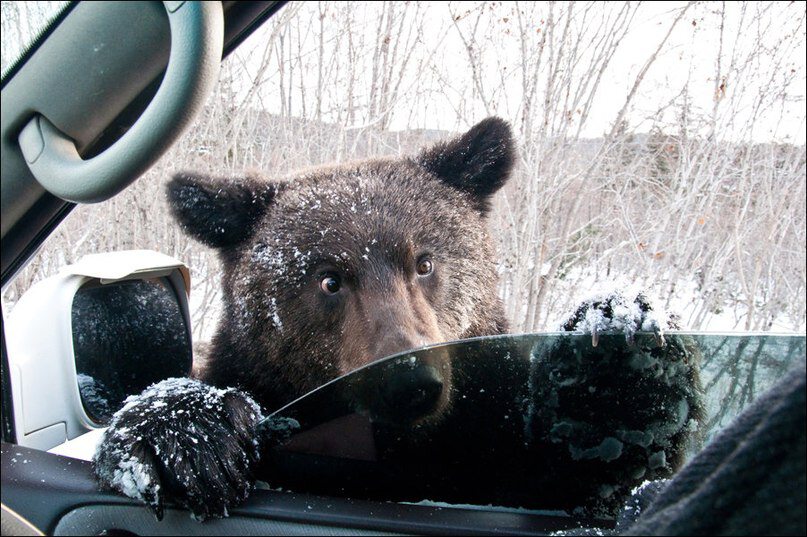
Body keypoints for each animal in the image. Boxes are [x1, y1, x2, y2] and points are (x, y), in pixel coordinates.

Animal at [93, 116, 700, 520]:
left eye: (425, 261)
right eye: (329, 278)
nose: (409, 381)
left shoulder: (489, 440)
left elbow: (589, 476)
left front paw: (622, 359)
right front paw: (182, 433)